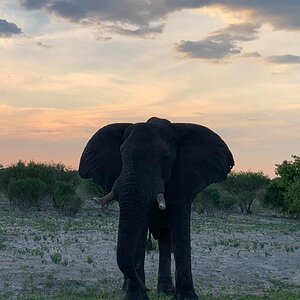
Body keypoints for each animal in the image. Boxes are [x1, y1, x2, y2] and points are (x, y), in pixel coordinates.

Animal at [78, 116, 233, 298]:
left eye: (165, 157)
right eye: (121, 155)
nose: (147, 288)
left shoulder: (183, 181)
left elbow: (181, 229)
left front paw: (187, 297)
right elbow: (140, 232)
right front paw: (135, 296)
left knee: (165, 239)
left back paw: (166, 291)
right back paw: (129, 287)